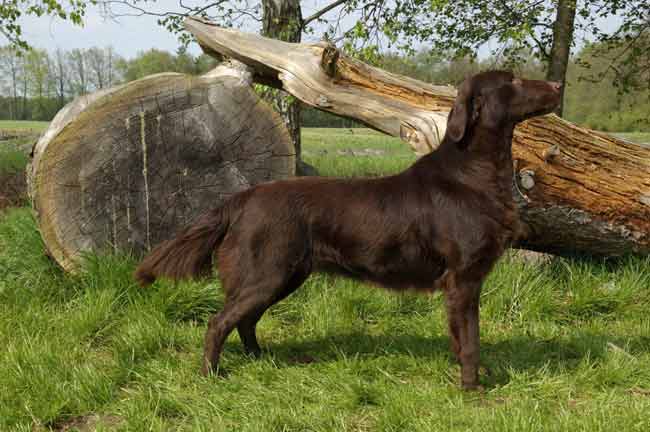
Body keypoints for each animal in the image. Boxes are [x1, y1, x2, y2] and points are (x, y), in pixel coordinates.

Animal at [135, 70, 556, 388]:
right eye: (513, 80)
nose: (556, 85)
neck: (474, 172)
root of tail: (243, 197)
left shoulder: (464, 282)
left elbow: (464, 337)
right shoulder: (463, 278)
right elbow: (470, 339)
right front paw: (472, 387)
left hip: (284, 276)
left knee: (246, 320)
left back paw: (260, 359)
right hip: (266, 273)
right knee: (219, 322)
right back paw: (211, 374)